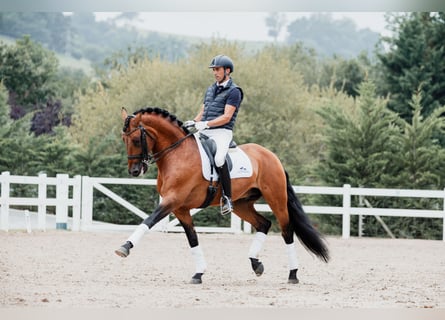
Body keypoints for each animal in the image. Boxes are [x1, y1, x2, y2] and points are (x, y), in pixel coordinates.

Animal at [114, 107, 330, 282]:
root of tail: (271, 155)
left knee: (287, 230)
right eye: (123, 140)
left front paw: (125, 247)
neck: (177, 154)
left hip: (276, 199)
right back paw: (256, 264)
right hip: (242, 204)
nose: (134, 171)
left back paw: (293, 274)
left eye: (136, 139)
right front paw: (199, 273)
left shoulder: (172, 201)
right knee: (264, 224)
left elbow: (148, 220)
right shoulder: (180, 208)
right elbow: (192, 238)